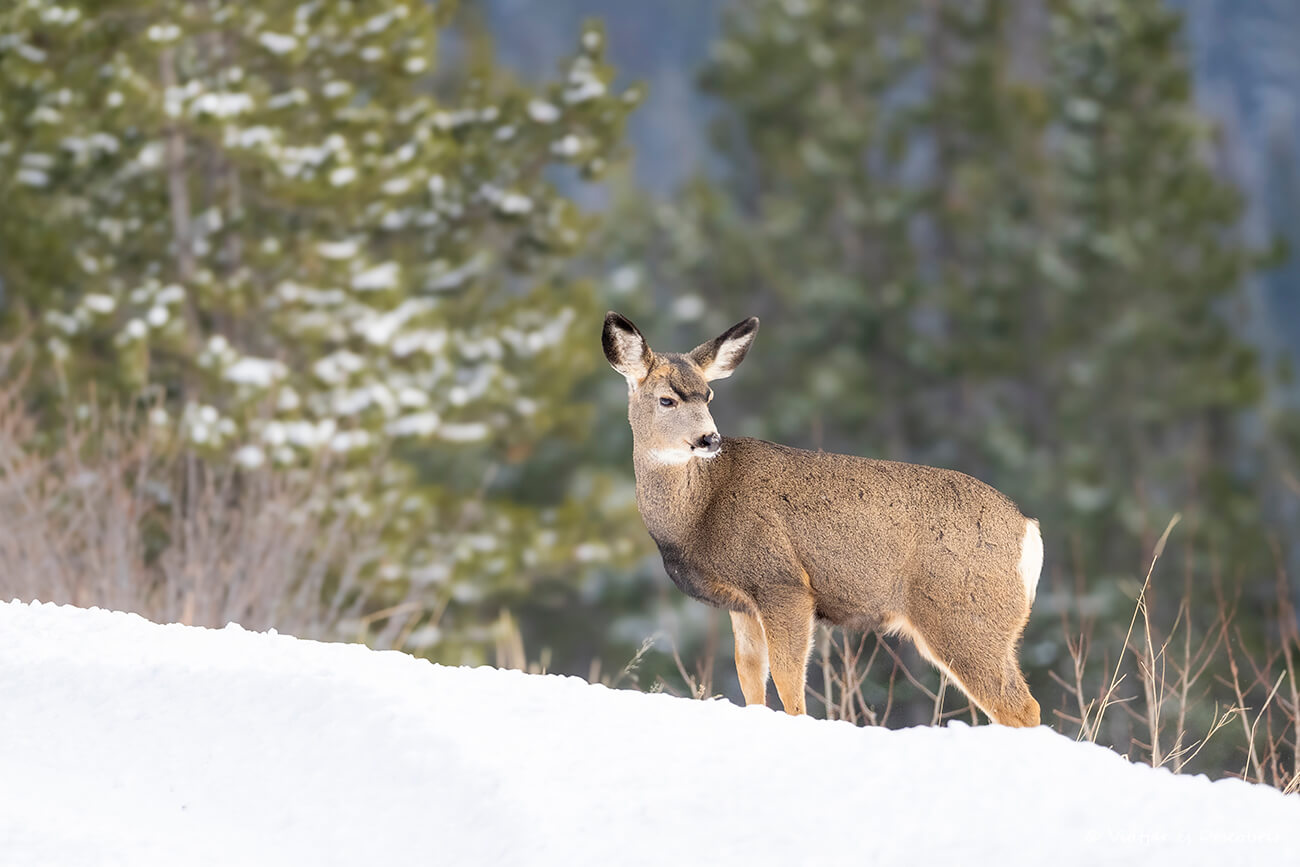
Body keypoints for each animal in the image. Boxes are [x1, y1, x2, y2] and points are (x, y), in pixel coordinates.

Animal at [602, 311, 1042, 726]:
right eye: (666, 400)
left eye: (708, 395)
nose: (710, 439)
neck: (698, 514)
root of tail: (1029, 531)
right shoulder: (742, 602)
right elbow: (750, 677)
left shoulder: (783, 581)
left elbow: (788, 679)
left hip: (964, 614)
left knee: (1020, 706)